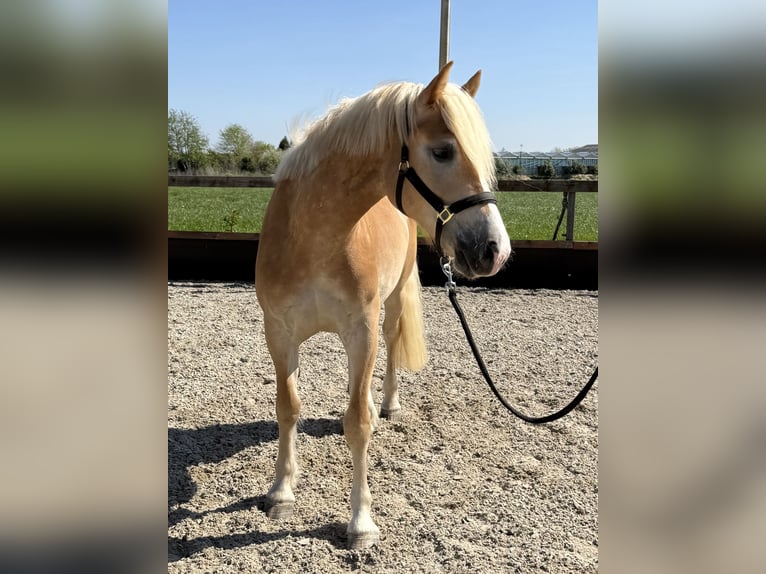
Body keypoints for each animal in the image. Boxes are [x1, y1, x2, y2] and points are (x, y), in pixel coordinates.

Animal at [255, 61, 511, 549]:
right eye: (443, 151)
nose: (495, 251)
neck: (314, 239)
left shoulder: (362, 329)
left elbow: (356, 424)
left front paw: (360, 522)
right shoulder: (279, 333)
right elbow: (288, 407)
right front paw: (280, 492)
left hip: (388, 309)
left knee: (390, 349)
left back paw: (387, 404)